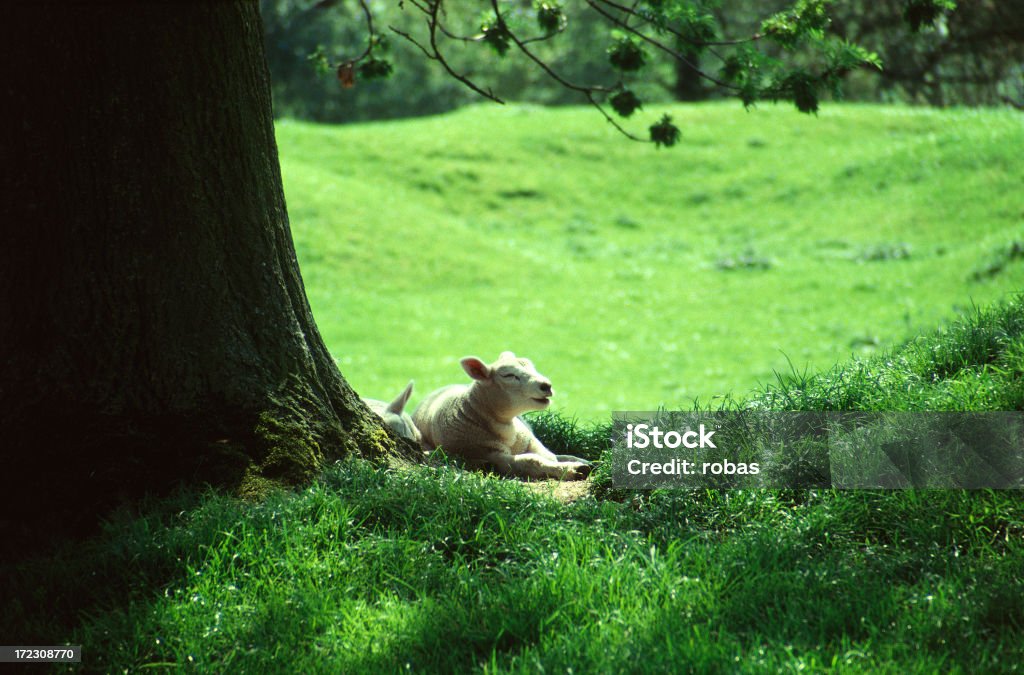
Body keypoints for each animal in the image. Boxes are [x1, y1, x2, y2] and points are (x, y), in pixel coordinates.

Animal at [411, 354, 593, 481]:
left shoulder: (529, 440)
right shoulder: (490, 455)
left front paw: (570, 464)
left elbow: (548, 455)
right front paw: (572, 470)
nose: (546, 385)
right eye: (509, 375)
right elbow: (532, 460)